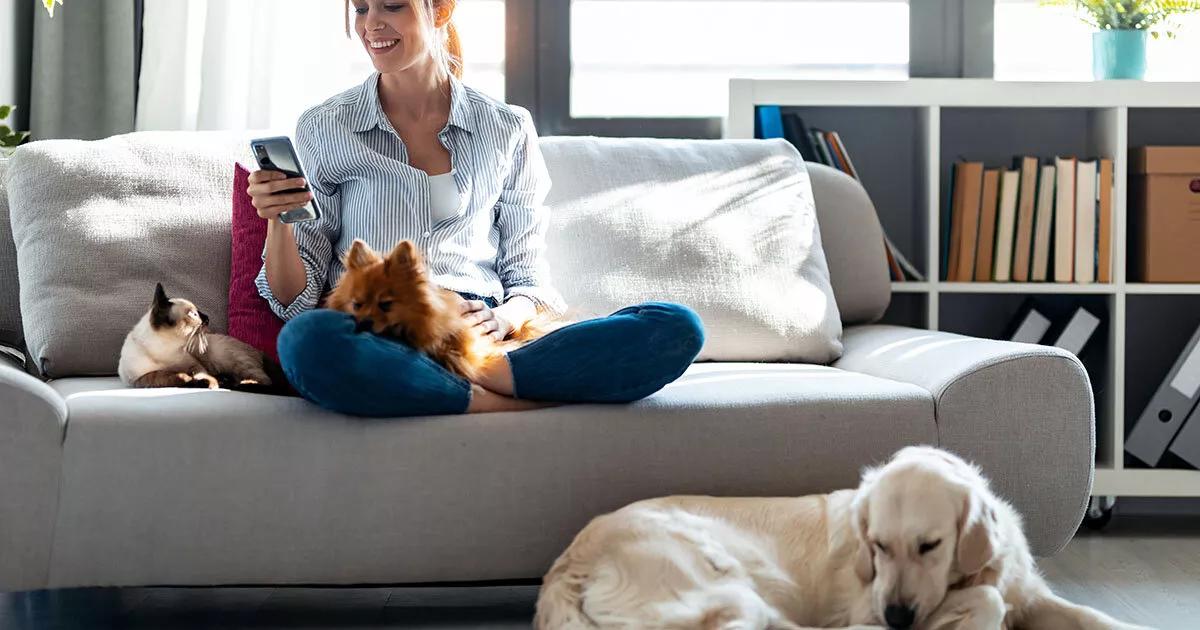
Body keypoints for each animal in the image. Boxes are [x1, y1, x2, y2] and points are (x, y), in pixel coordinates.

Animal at [118, 283, 274, 391]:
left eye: (197, 312)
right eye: (193, 314)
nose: (207, 318)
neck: (167, 349)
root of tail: (259, 351)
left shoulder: (195, 365)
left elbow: (202, 375)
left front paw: (210, 383)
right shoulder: (139, 379)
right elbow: (168, 375)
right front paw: (191, 380)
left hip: (234, 361)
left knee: (265, 381)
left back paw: (240, 383)